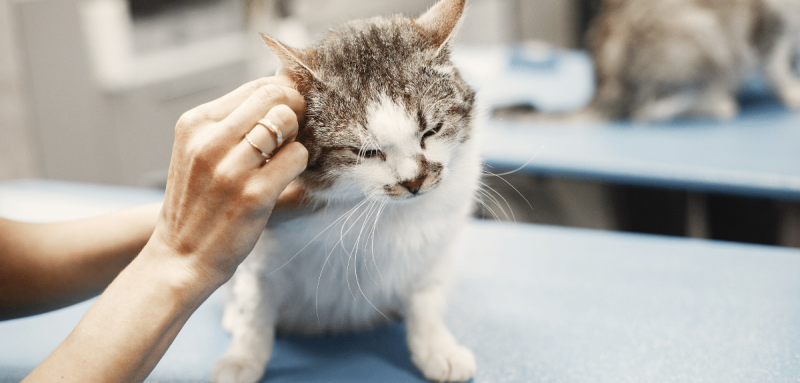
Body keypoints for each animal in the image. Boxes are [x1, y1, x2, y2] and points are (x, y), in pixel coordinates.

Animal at [572, 0, 800, 122]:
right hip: (702, 33)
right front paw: (793, 91)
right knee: (647, 111)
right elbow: (777, 68)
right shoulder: (765, 27)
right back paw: (717, 103)